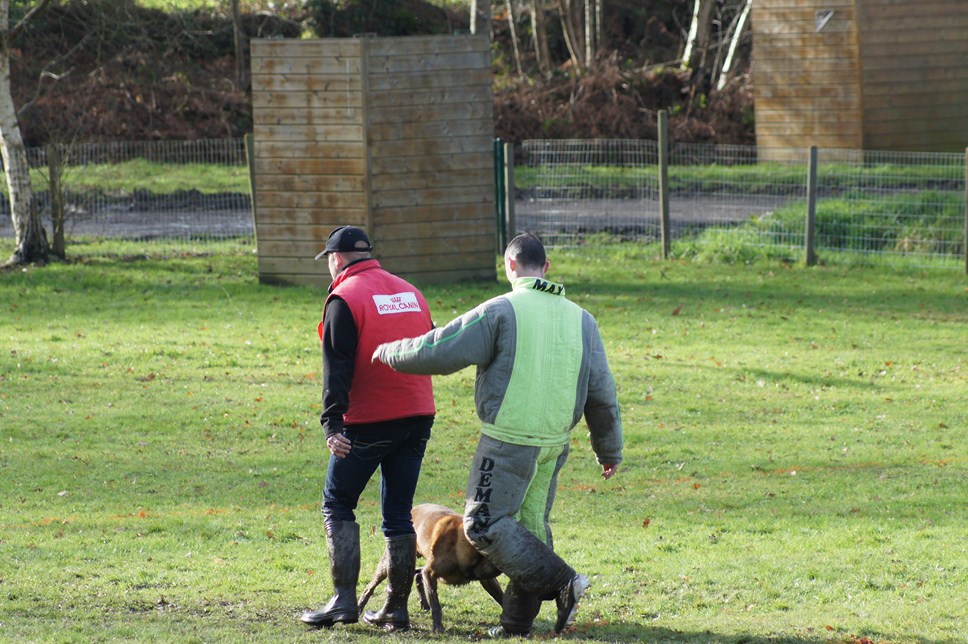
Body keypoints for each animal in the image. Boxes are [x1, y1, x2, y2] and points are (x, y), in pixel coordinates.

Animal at [358, 500, 506, 632]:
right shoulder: (430, 573)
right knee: (370, 587)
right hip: (386, 567)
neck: (460, 544)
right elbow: (436, 605)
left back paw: (423, 603)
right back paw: (361, 608)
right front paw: (437, 627)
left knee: (416, 574)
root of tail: (413, 508)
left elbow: (501, 597)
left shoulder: (488, 580)